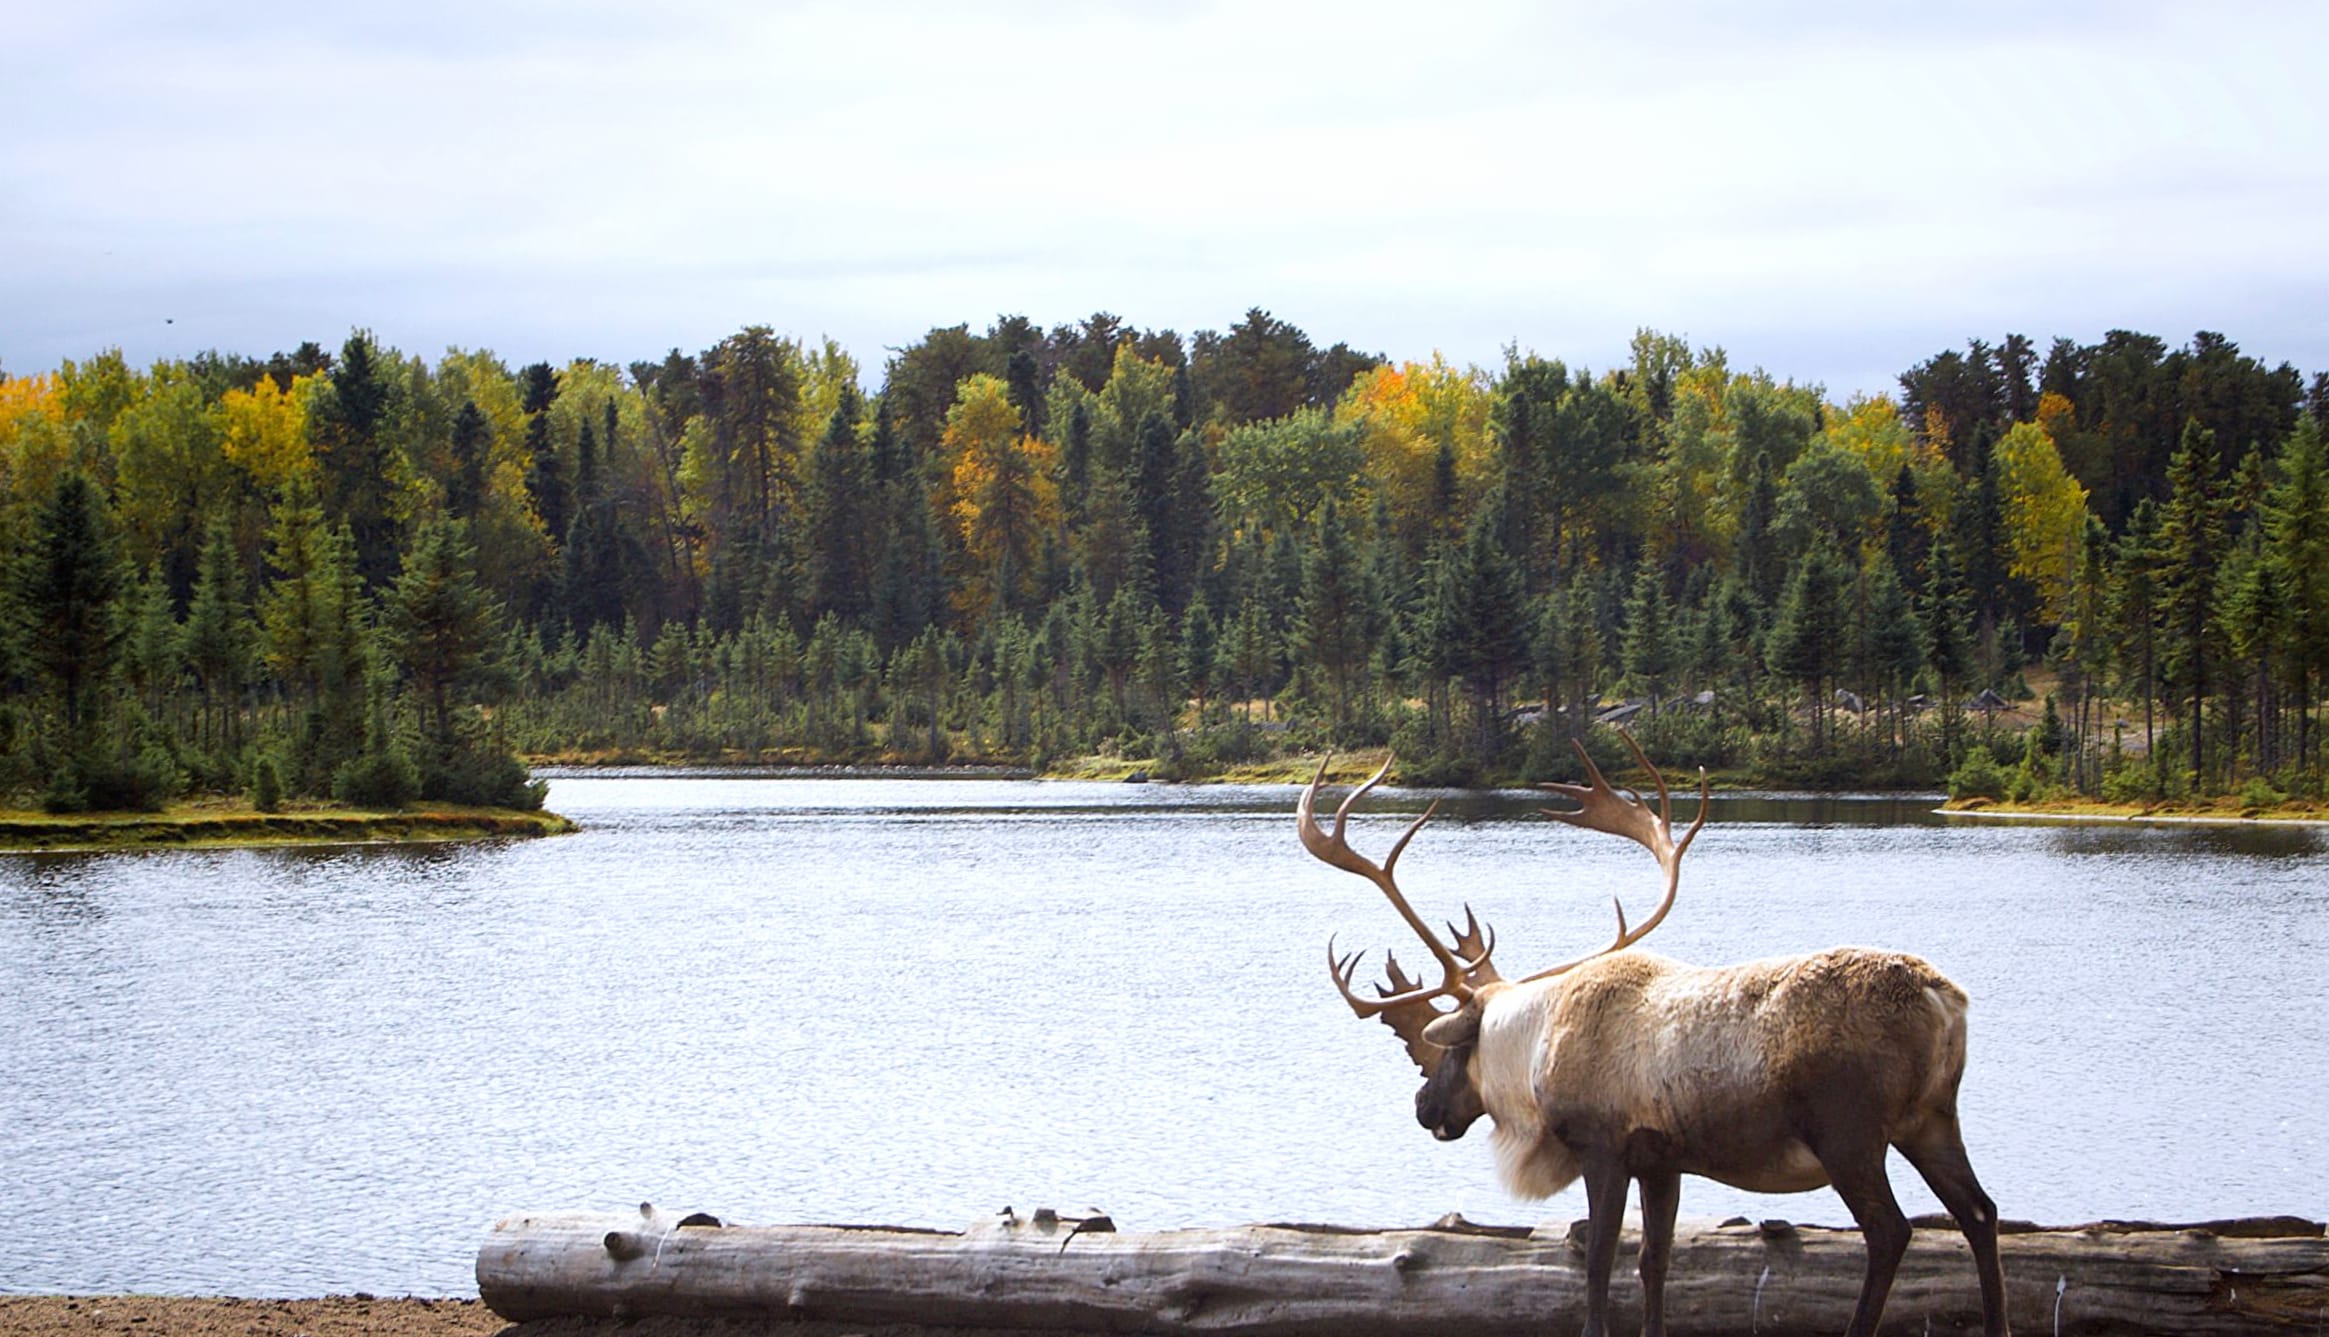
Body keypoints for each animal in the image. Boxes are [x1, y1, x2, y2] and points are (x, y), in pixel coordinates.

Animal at [1304, 740, 2012, 1332]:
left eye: (1450, 1049)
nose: (1423, 1108)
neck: (1531, 1058)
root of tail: (1945, 1001)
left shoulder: (1602, 1147)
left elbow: (1598, 1261)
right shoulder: (1662, 1160)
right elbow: (1655, 1261)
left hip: (1849, 1131)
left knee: (1891, 1232)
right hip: (1931, 1119)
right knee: (1980, 1212)